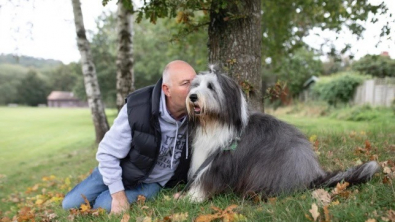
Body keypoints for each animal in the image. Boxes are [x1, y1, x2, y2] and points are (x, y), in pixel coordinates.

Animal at [184, 68, 382, 202]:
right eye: (196, 85)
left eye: (211, 87)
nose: (192, 96)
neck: (215, 122)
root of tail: (312, 176)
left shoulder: (221, 161)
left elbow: (206, 180)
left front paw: (191, 197)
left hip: (268, 167)